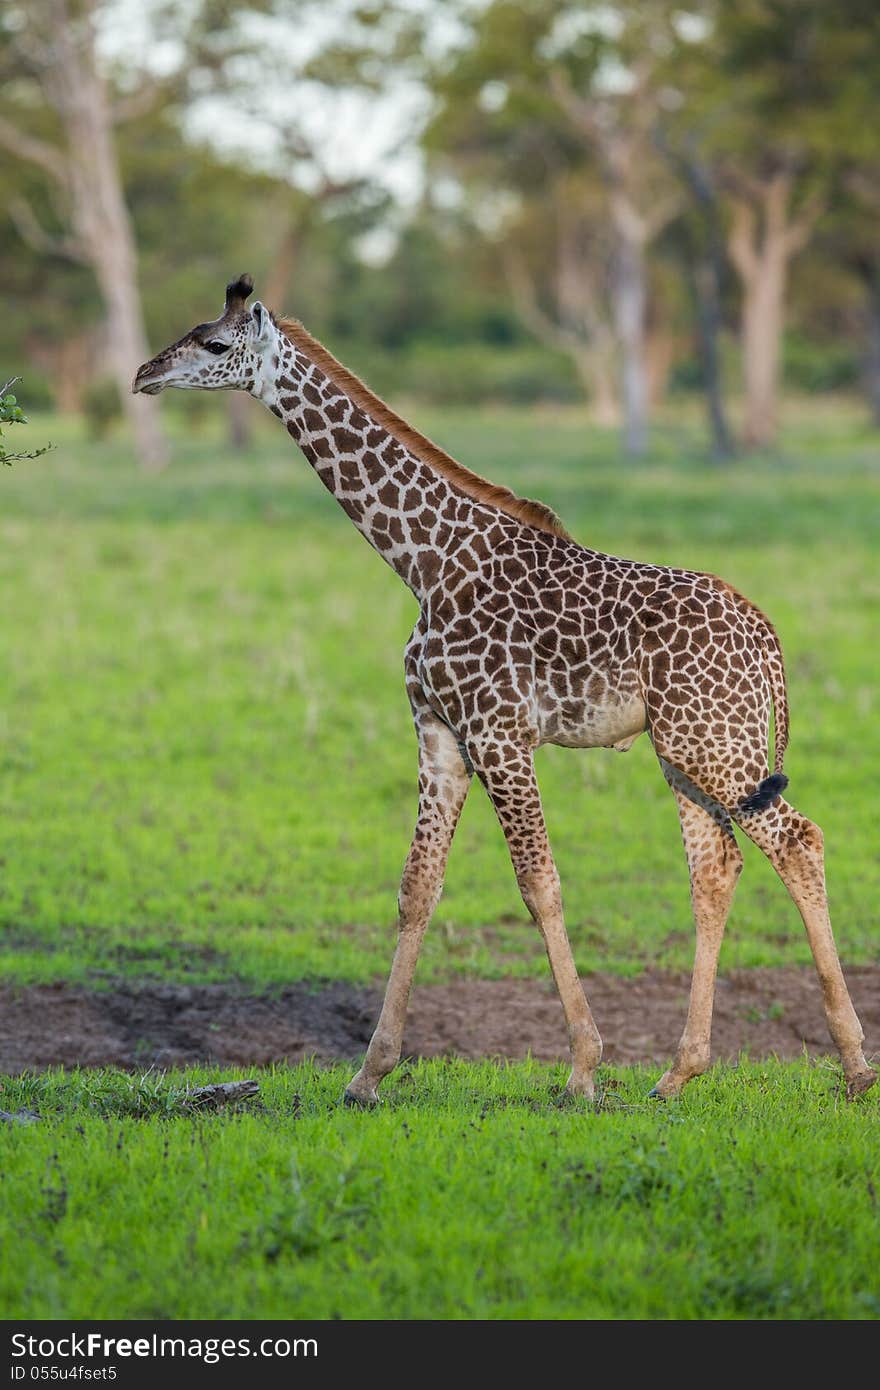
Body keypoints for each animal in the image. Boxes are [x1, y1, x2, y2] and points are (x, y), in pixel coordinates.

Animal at [130, 276, 873, 1100]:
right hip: (686, 748)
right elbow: (418, 886)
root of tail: (766, 636)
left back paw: (853, 1066)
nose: (143, 375)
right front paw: (368, 1074)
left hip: (717, 743)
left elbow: (538, 883)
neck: (424, 562)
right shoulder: (438, 729)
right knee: (717, 868)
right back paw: (678, 1073)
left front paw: (582, 1069)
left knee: (798, 840)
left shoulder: (499, 730)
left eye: (215, 344)